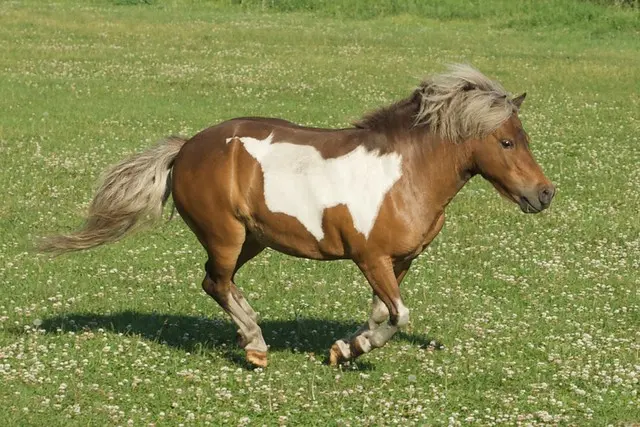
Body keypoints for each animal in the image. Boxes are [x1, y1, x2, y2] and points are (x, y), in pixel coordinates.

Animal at [39, 64, 555, 368]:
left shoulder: (401, 260)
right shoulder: (370, 257)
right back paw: (255, 346)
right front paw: (352, 348)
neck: (405, 174)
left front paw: (346, 348)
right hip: (225, 235)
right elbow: (399, 315)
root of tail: (186, 148)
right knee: (215, 282)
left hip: (253, 239)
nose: (545, 194)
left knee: (220, 283)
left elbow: (380, 313)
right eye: (506, 141)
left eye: (524, 137)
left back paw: (253, 335)